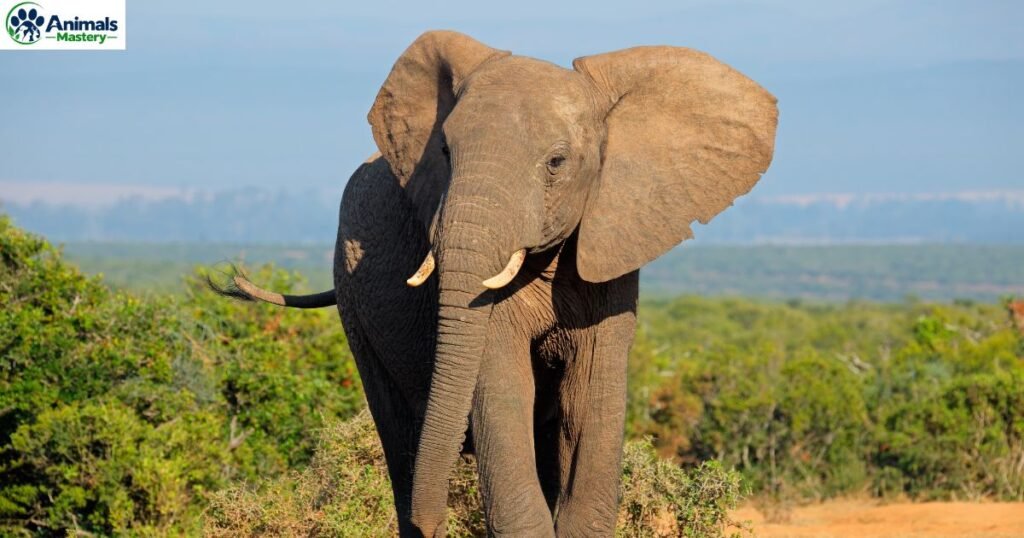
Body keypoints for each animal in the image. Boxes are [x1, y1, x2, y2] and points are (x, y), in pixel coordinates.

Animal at [216, 30, 777, 537]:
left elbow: (588, 398)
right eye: (444, 150)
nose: (432, 521)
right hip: (352, 297)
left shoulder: (612, 248)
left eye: (556, 162)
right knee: (398, 432)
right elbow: (503, 391)